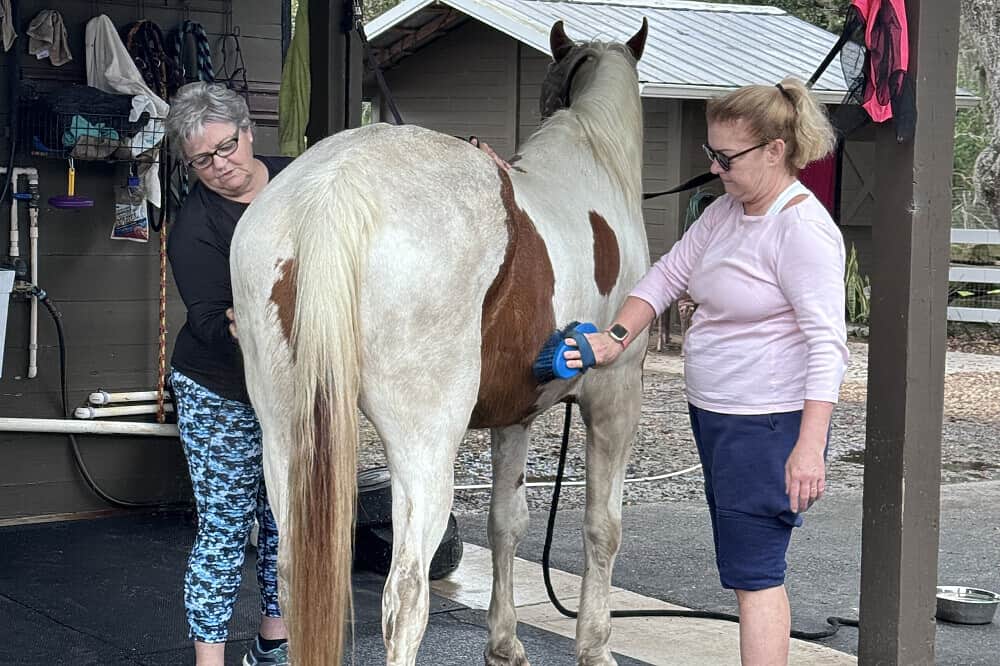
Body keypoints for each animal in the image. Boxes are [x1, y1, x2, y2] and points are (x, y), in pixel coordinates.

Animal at [230, 19, 650, 666]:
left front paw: (504, 641)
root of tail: (335, 186)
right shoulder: (614, 398)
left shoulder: (514, 415)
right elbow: (601, 527)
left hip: (283, 431)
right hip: (424, 444)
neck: (592, 168)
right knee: (405, 595)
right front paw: (595, 646)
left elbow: (507, 523)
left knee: (292, 573)